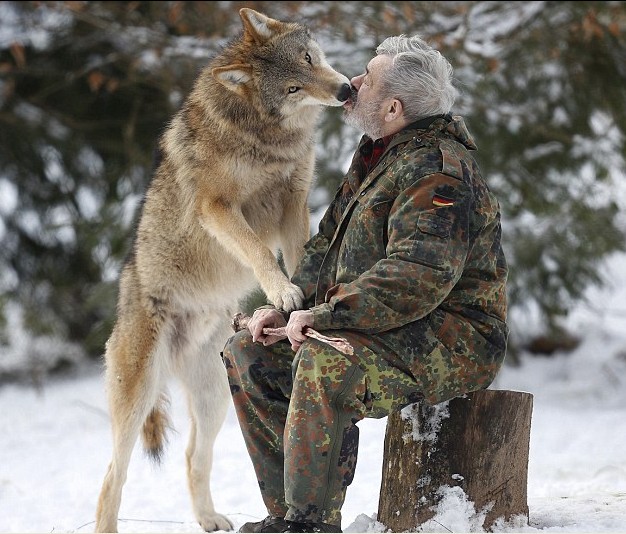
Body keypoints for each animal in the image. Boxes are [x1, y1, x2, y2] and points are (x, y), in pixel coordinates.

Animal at [94, 9, 348, 534]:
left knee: (194, 457)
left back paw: (209, 518)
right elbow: (258, 251)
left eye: (309, 58)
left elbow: (299, 253)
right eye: (293, 87)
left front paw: (302, 302)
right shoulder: (217, 208)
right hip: (137, 398)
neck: (265, 136)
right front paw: (283, 293)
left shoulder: (294, 201)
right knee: (113, 475)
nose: (346, 89)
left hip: (213, 399)